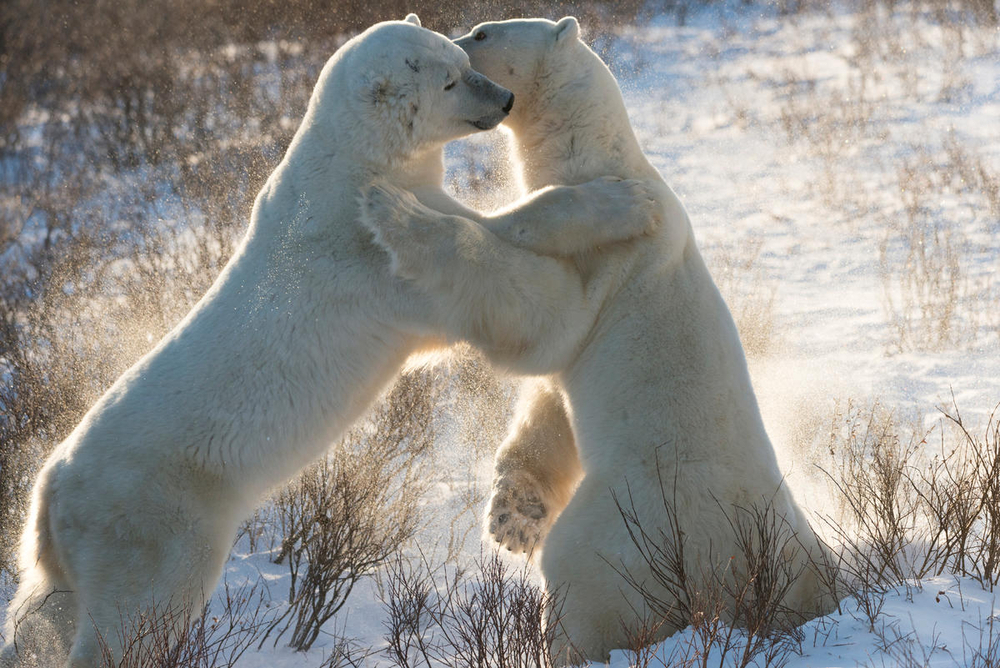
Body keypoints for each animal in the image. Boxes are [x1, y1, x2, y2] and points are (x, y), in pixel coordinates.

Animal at [1, 17, 664, 668]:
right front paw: (629, 204)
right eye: (450, 81)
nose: (502, 100)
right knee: (136, 612)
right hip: (154, 516)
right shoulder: (365, 246)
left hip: (80, 547)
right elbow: (479, 245)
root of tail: (48, 494)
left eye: (463, 59)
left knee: (48, 612)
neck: (348, 162)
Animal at [364, 15, 840, 664]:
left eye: (483, 33)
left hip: (632, 519)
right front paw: (512, 520)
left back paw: (563, 641)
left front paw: (398, 211)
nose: (446, 43)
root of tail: (733, 564)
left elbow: (543, 318)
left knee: (584, 573)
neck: (595, 157)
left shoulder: (607, 262)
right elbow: (548, 404)